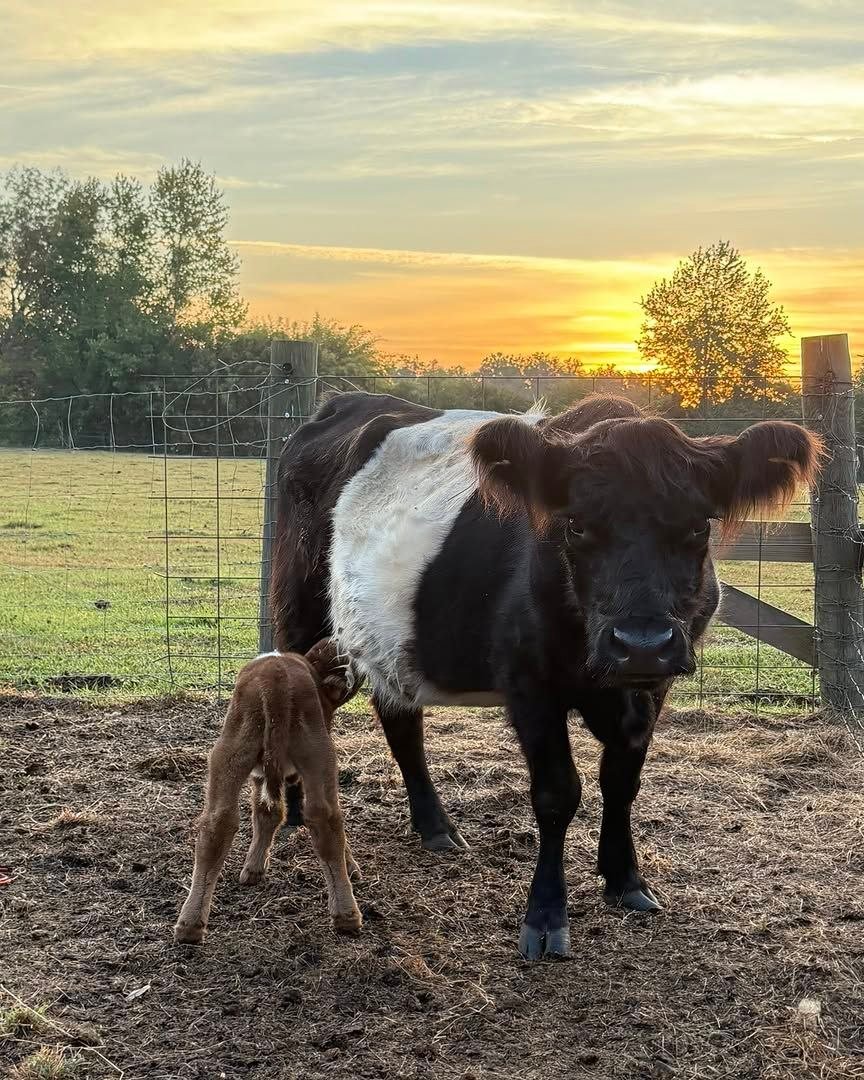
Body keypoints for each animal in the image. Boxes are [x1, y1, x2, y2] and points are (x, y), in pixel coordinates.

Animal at [174, 640, 362, 945]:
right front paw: (352, 866)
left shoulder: (258, 774)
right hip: (319, 754)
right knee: (326, 818)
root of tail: (274, 679)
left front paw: (253, 867)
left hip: (229, 752)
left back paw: (189, 925)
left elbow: (265, 813)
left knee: (217, 822)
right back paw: (347, 916)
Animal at [269, 392, 822, 960]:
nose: (641, 644)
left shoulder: (653, 690)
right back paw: (296, 814)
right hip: (298, 609)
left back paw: (436, 827)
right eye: (575, 524)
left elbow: (621, 782)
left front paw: (625, 880)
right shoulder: (529, 684)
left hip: (391, 643)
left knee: (401, 722)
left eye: (698, 526)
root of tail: (343, 401)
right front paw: (546, 916)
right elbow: (558, 794)